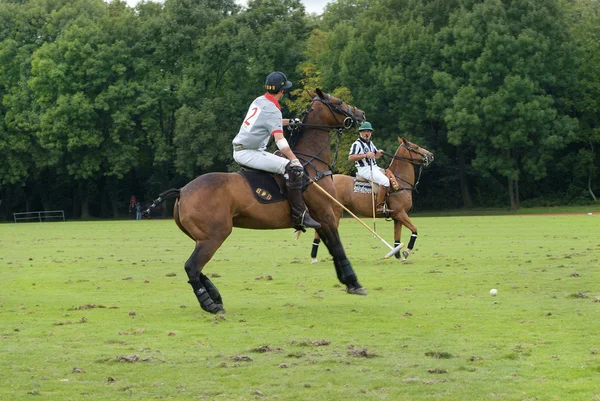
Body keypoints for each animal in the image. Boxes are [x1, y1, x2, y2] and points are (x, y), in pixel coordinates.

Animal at [148, 89, 368, 314]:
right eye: (338, 102)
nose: (360, 113)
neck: (311, 162)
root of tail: (182, 191)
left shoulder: (321, 219)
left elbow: (332, 248)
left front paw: (348, 282)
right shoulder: (325, 214)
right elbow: (337, 247)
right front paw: (354, 283)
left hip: (200, 236)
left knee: (195, 267)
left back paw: (215, 295)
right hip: (215, 235)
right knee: (192, 266)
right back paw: (211, 304)